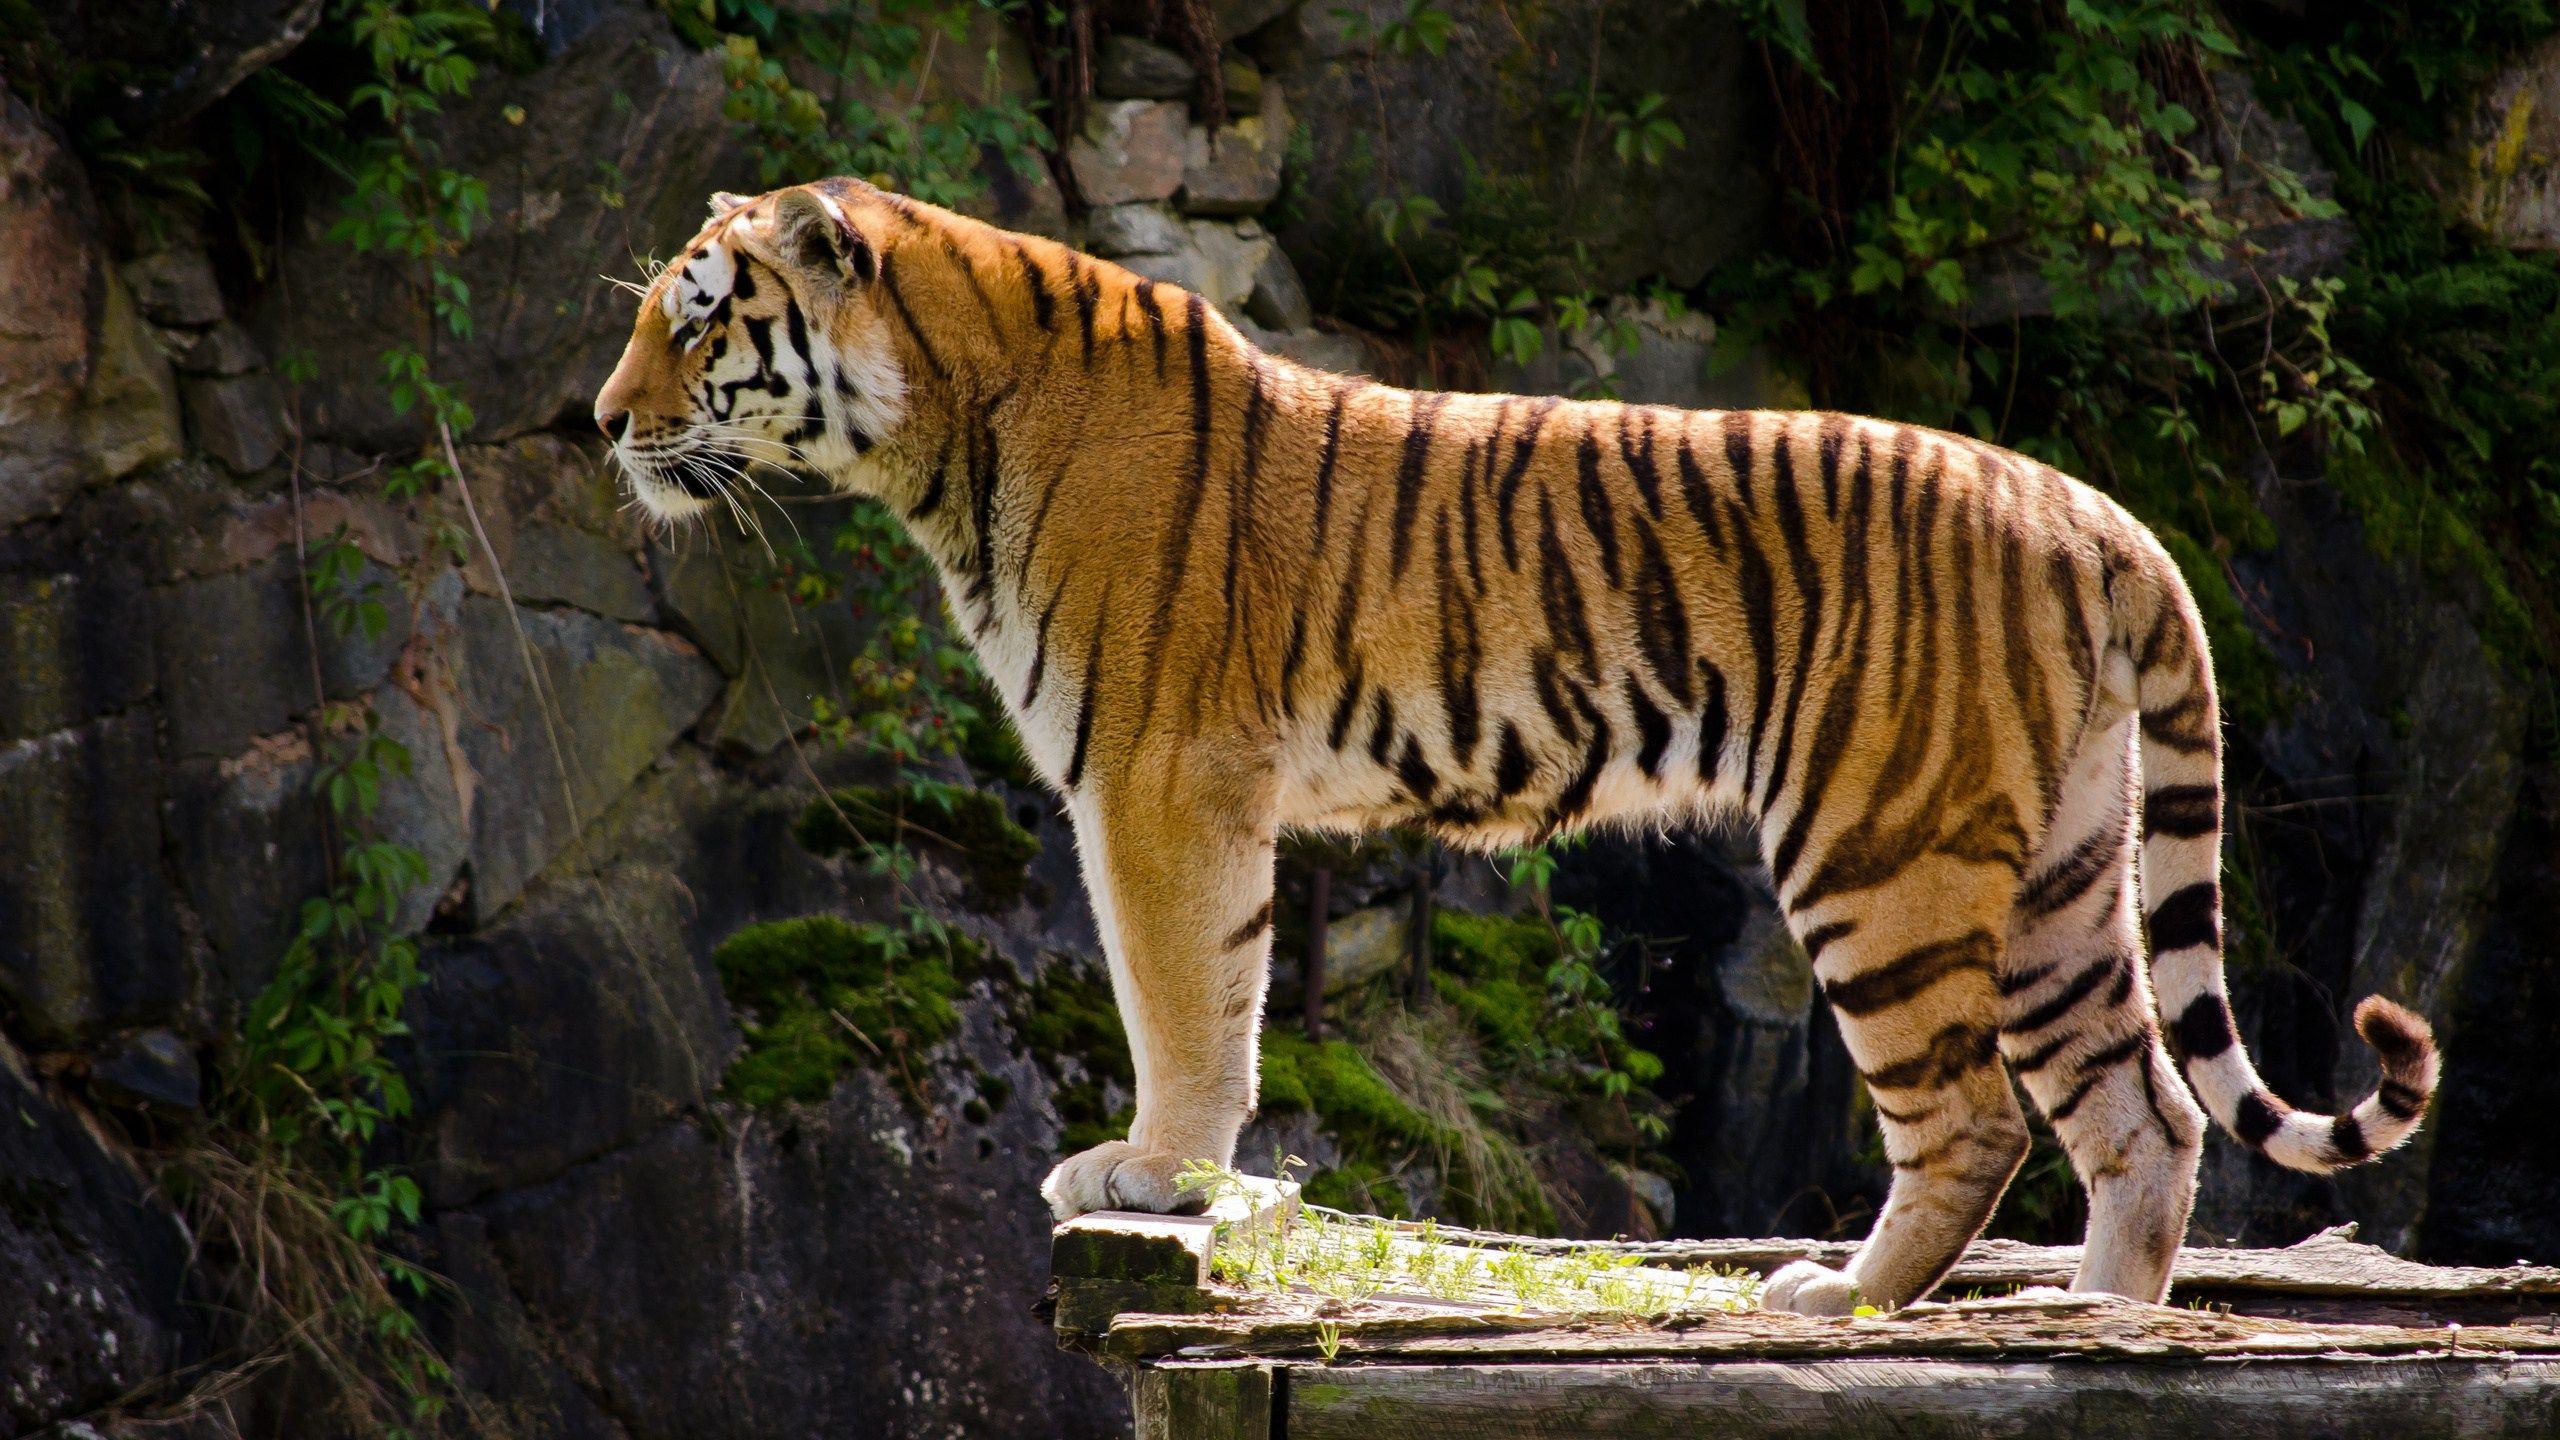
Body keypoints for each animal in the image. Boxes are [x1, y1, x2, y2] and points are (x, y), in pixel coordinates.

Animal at [593, 178, 2440, 1315]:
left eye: (696, 323)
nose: (604, 423)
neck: (941, 434)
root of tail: (2093, 511)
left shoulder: (1159, 777)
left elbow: (1182, 992)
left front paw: (1154, 1172)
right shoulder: (1181, 784)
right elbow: (1220, 986)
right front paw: (1178, 1168)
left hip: (1882, 853)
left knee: (1981, 1119)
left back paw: (1843, 1297)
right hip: (2061, 868)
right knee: (2149, 1117)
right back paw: (2103, 1319)